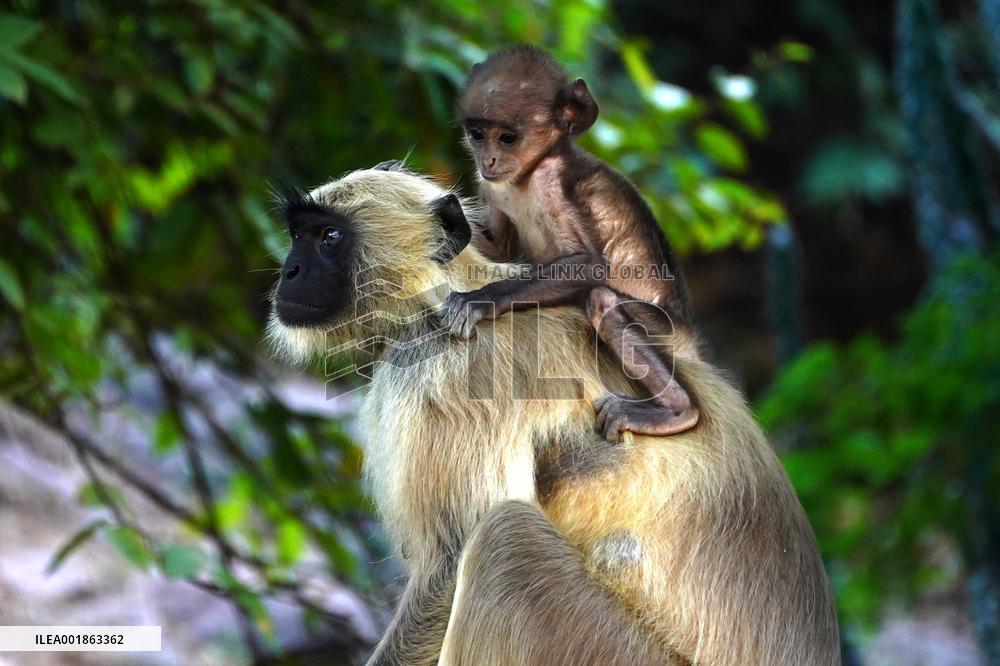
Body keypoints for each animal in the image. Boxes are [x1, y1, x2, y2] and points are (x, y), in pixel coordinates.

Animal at [267, 165, 840, 665]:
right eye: (298, 235)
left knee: (502, 539)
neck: (436, 303)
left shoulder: (452, 375)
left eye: (330, 238)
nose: (288, 271)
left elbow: (447, 567)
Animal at [440, 45, 700, 443]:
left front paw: (480, 299)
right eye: (477, 134)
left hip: (666, 332)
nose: (488, 159)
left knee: (602, 298)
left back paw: (678, 412)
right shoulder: (491, 184)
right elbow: (498, 249)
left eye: (507, 138)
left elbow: (591, 266)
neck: (529, 174)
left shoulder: (553, 183)